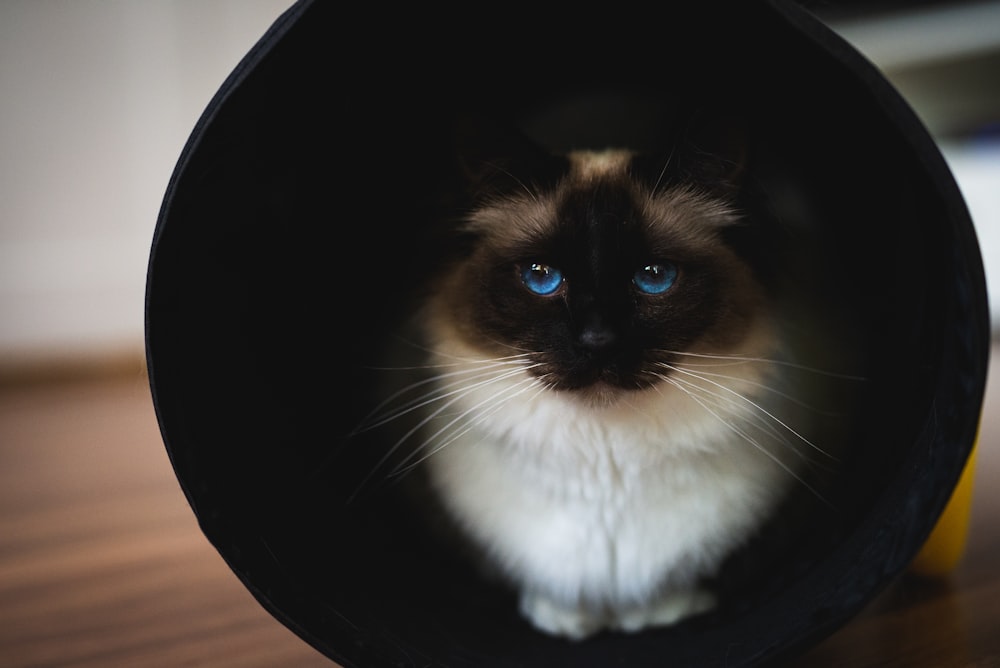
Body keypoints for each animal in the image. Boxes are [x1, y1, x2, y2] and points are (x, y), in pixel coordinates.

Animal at [356, 116, 848, 640]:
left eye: (654, 276)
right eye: (541, 277)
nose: (597, 340)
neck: (603, 460)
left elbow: (679, 584)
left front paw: (657, 615)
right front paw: (563, 621)